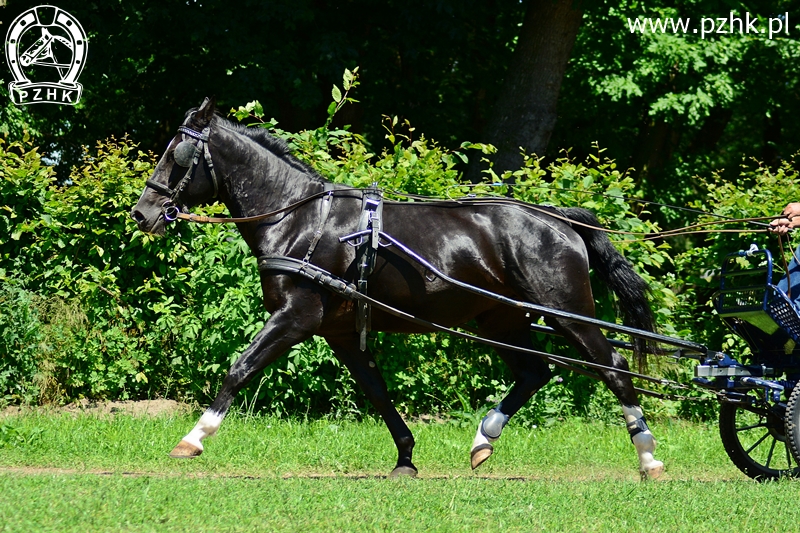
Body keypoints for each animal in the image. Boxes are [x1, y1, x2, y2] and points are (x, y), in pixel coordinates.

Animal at [131, 98, 664, 478]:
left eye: (176, 155)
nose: (141, 213)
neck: (299, 219)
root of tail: (558, 218)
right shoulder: (339, 331)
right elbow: (376, 391)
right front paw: (405, 457)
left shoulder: (296, 316)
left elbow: (239, 368)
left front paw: (194, 437)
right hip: (501, 317)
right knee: (534, 372)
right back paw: (483, 440)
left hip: (565, 311)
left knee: (613, 367)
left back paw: (648, 456)